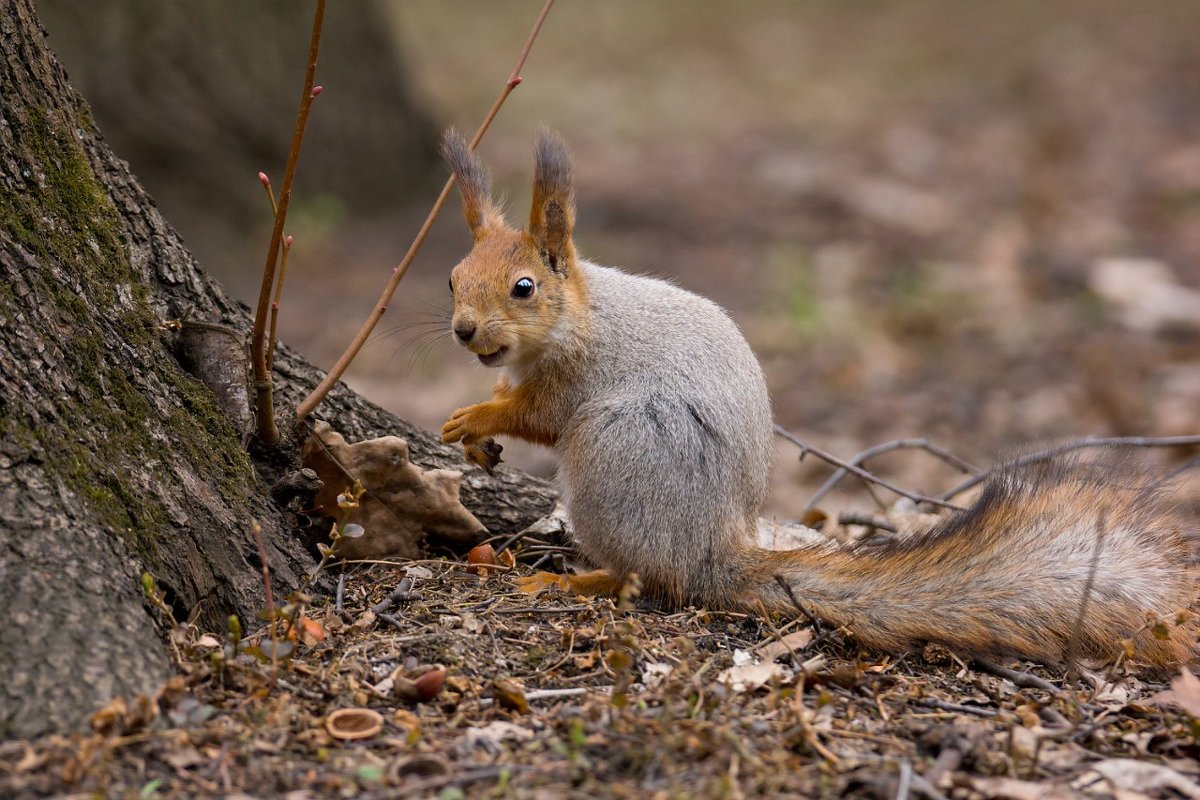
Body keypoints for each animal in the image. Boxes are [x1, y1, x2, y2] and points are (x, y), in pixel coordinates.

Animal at [441, 128, 1200, 671]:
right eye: (452, 279)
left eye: (523, 289)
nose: (463, 331)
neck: (579, 314)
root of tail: (712, 551)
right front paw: (478, 436)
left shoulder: (578, 377)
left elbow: (540, 416)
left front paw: (476, 416)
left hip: (618, 452)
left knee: (644, 576)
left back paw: (569, 583)